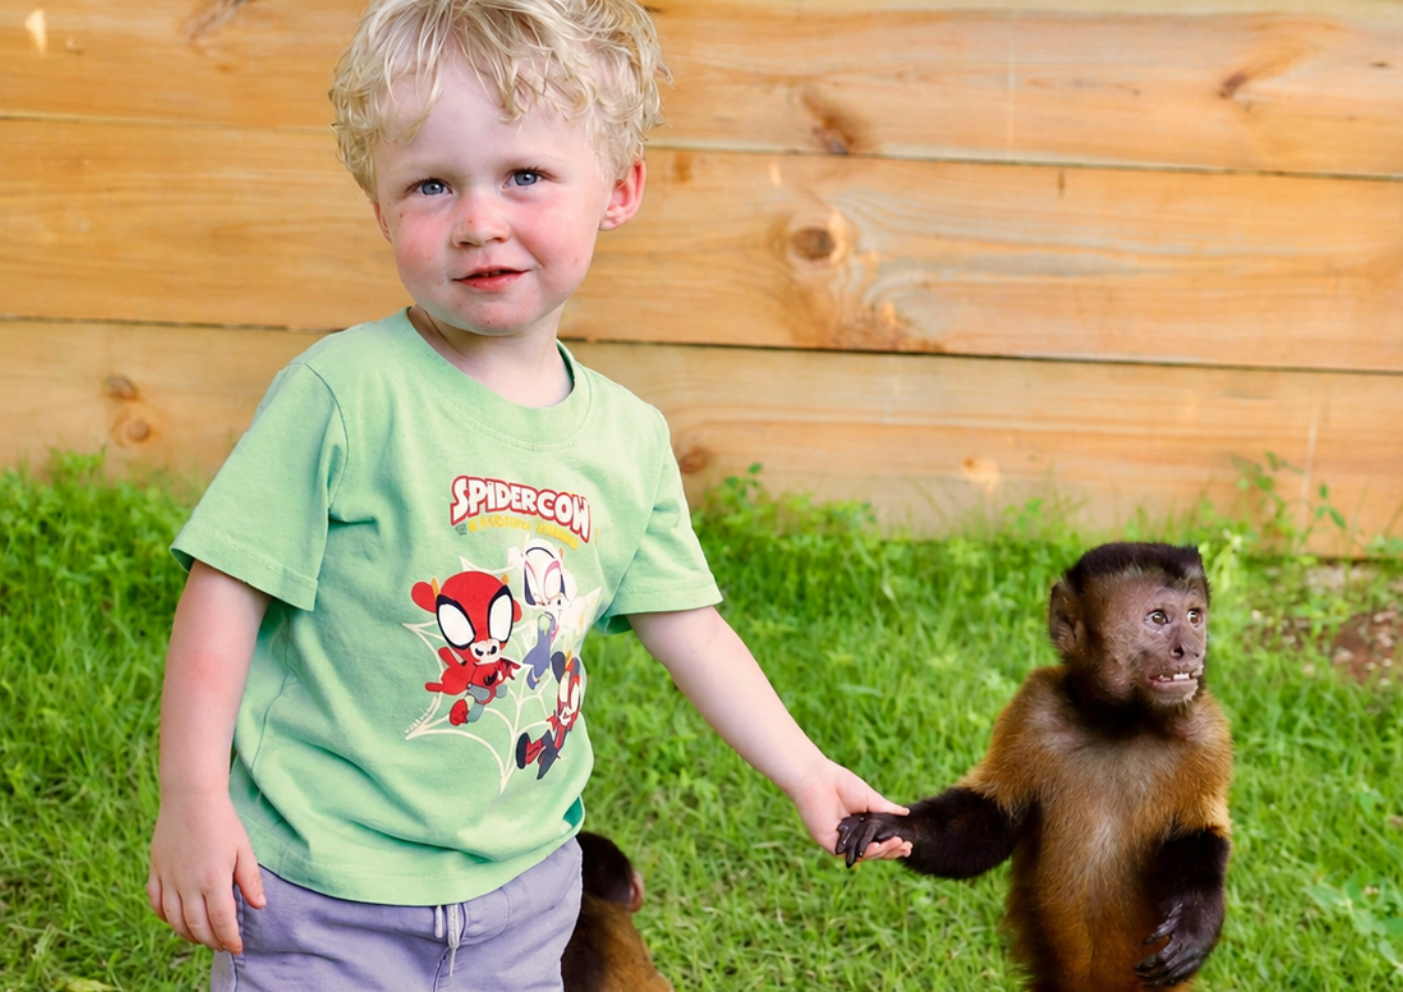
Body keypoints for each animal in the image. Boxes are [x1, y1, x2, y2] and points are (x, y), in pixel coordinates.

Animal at [836, 542, 1232, 992]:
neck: (1121, 724)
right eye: (1159, 618)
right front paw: (891, 826)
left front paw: (1197, 921)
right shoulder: (1034, 710)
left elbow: (1198, 836)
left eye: (1195, 617)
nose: (1192, 650)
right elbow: (990, 823)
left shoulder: (1207, 734)